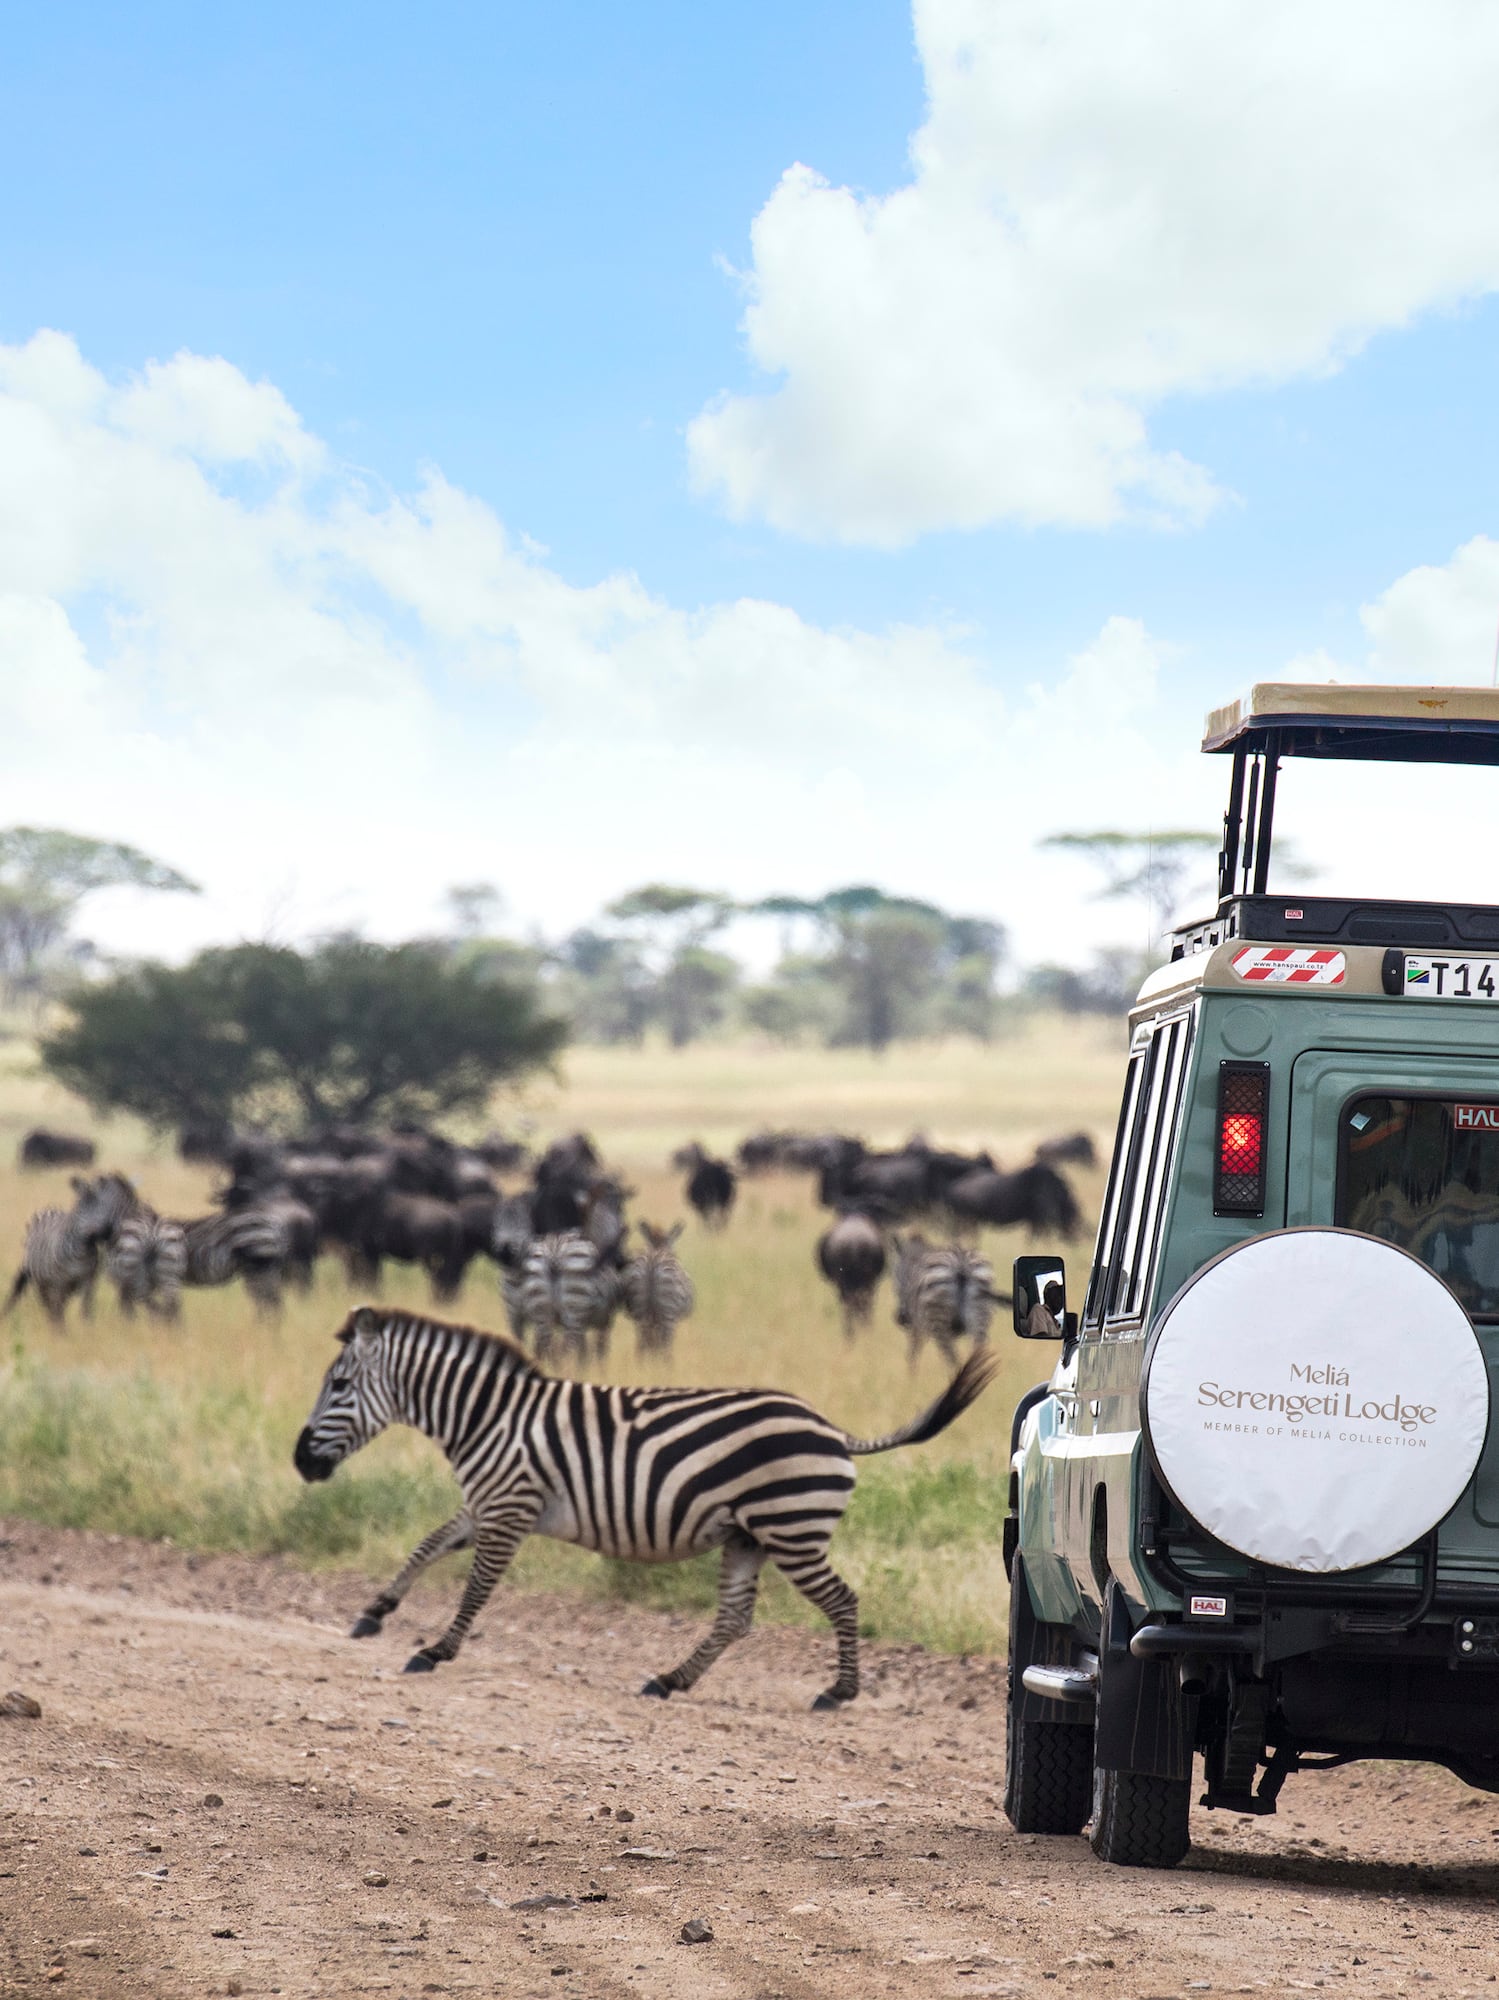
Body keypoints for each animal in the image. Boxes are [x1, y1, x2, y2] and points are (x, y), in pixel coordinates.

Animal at [294, 1306, 999, 1703]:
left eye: (340, 1385)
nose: (301, 1462)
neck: (486, 1418)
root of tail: (833, 1430)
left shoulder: (510, 1507)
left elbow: (475, 1589)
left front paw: (436, 1650)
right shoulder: (488, 1505)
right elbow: (427, 1544)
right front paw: (374, 1613)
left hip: (790, 1529)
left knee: (843, 1601)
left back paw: (840, 1691)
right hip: (749, 1536)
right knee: (734, 1619)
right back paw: (669, 1680)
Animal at [619, 1221, 694, 1355]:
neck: (658, 1247)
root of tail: (652, 1263)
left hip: (639, 1309)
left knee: (642, 1345)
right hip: (669, 1313)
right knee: (666, 1347)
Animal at [892, 1233, 998, 1366]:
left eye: (896, 1276)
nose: (902, 1319)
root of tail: (961, 1262)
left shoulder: (918, 1325)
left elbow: (912, 1356)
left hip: (940, 1323)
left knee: (952, 1360)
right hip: (981, 1318)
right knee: (977, 1354)